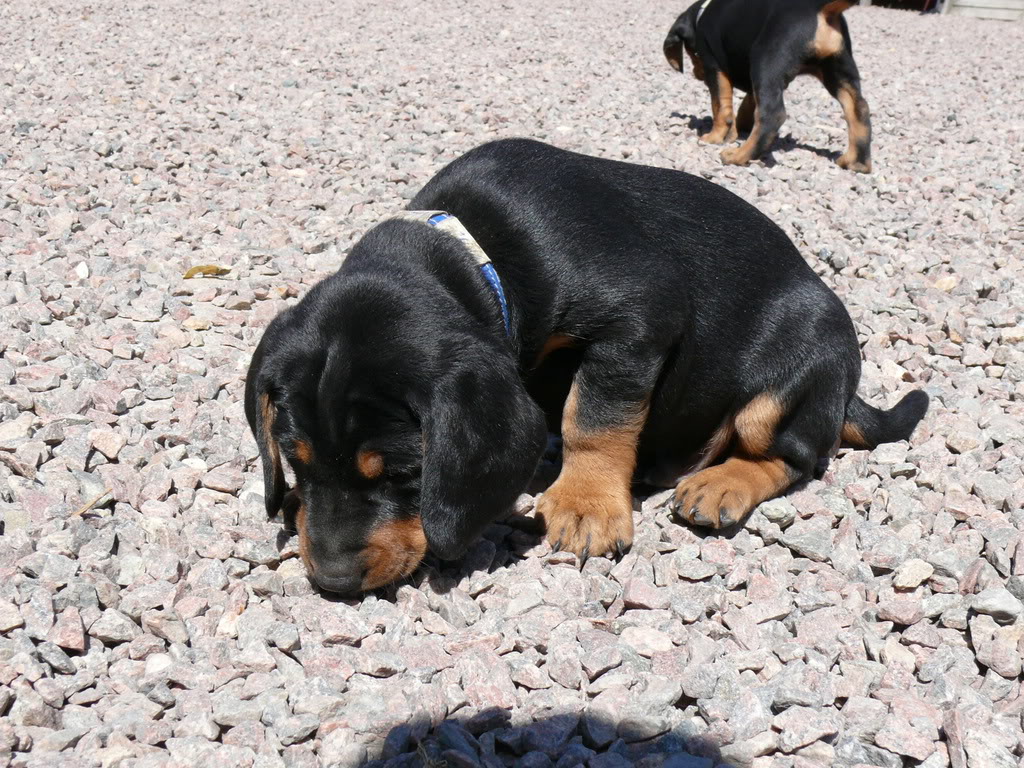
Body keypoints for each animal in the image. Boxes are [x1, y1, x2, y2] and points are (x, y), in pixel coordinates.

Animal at [243, 138, 925, 593]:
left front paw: (586, 504)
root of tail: (846, 389)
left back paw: (720, 484)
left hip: (793, 369)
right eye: (296, 463)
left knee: (799, 453)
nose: (331, 581)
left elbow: (593, 417)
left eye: (403, 475)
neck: (478, 253)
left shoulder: (638, 320)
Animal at [663, 0, 872, 171]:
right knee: (858, 109)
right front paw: (736, 131)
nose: (696, 74)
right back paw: (856, 163)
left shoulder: (713, 65)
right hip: (838, 68)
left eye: (692, 53)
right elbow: (747, 104)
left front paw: (713, 137)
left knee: (772, 114)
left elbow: (720, 108)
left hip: (766, 58)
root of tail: (819, 8)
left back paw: (738, 155)